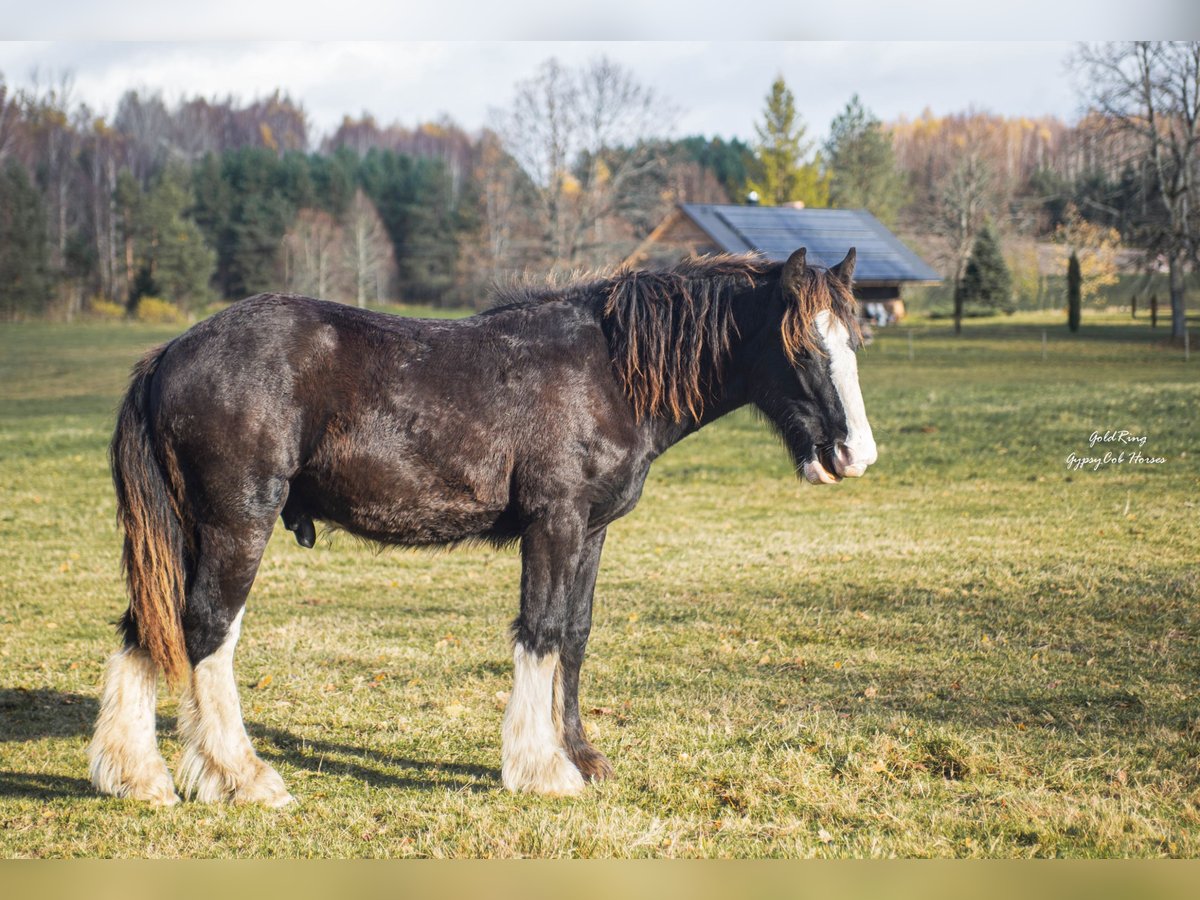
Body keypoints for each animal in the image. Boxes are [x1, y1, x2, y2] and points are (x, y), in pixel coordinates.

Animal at [88, 244, 878, 801]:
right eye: (801, 346)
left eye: (855, 343)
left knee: (146, 626)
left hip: (187, 532)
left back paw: (139, 777)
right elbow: (541, 632)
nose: (854, 455)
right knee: (206, 630)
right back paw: (242, 777)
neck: (608, 373)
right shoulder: (554, 524)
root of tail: (170, 355)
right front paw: (540, 768)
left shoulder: (592, 531)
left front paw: (579, 754)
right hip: (236, 524)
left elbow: (575, 636)